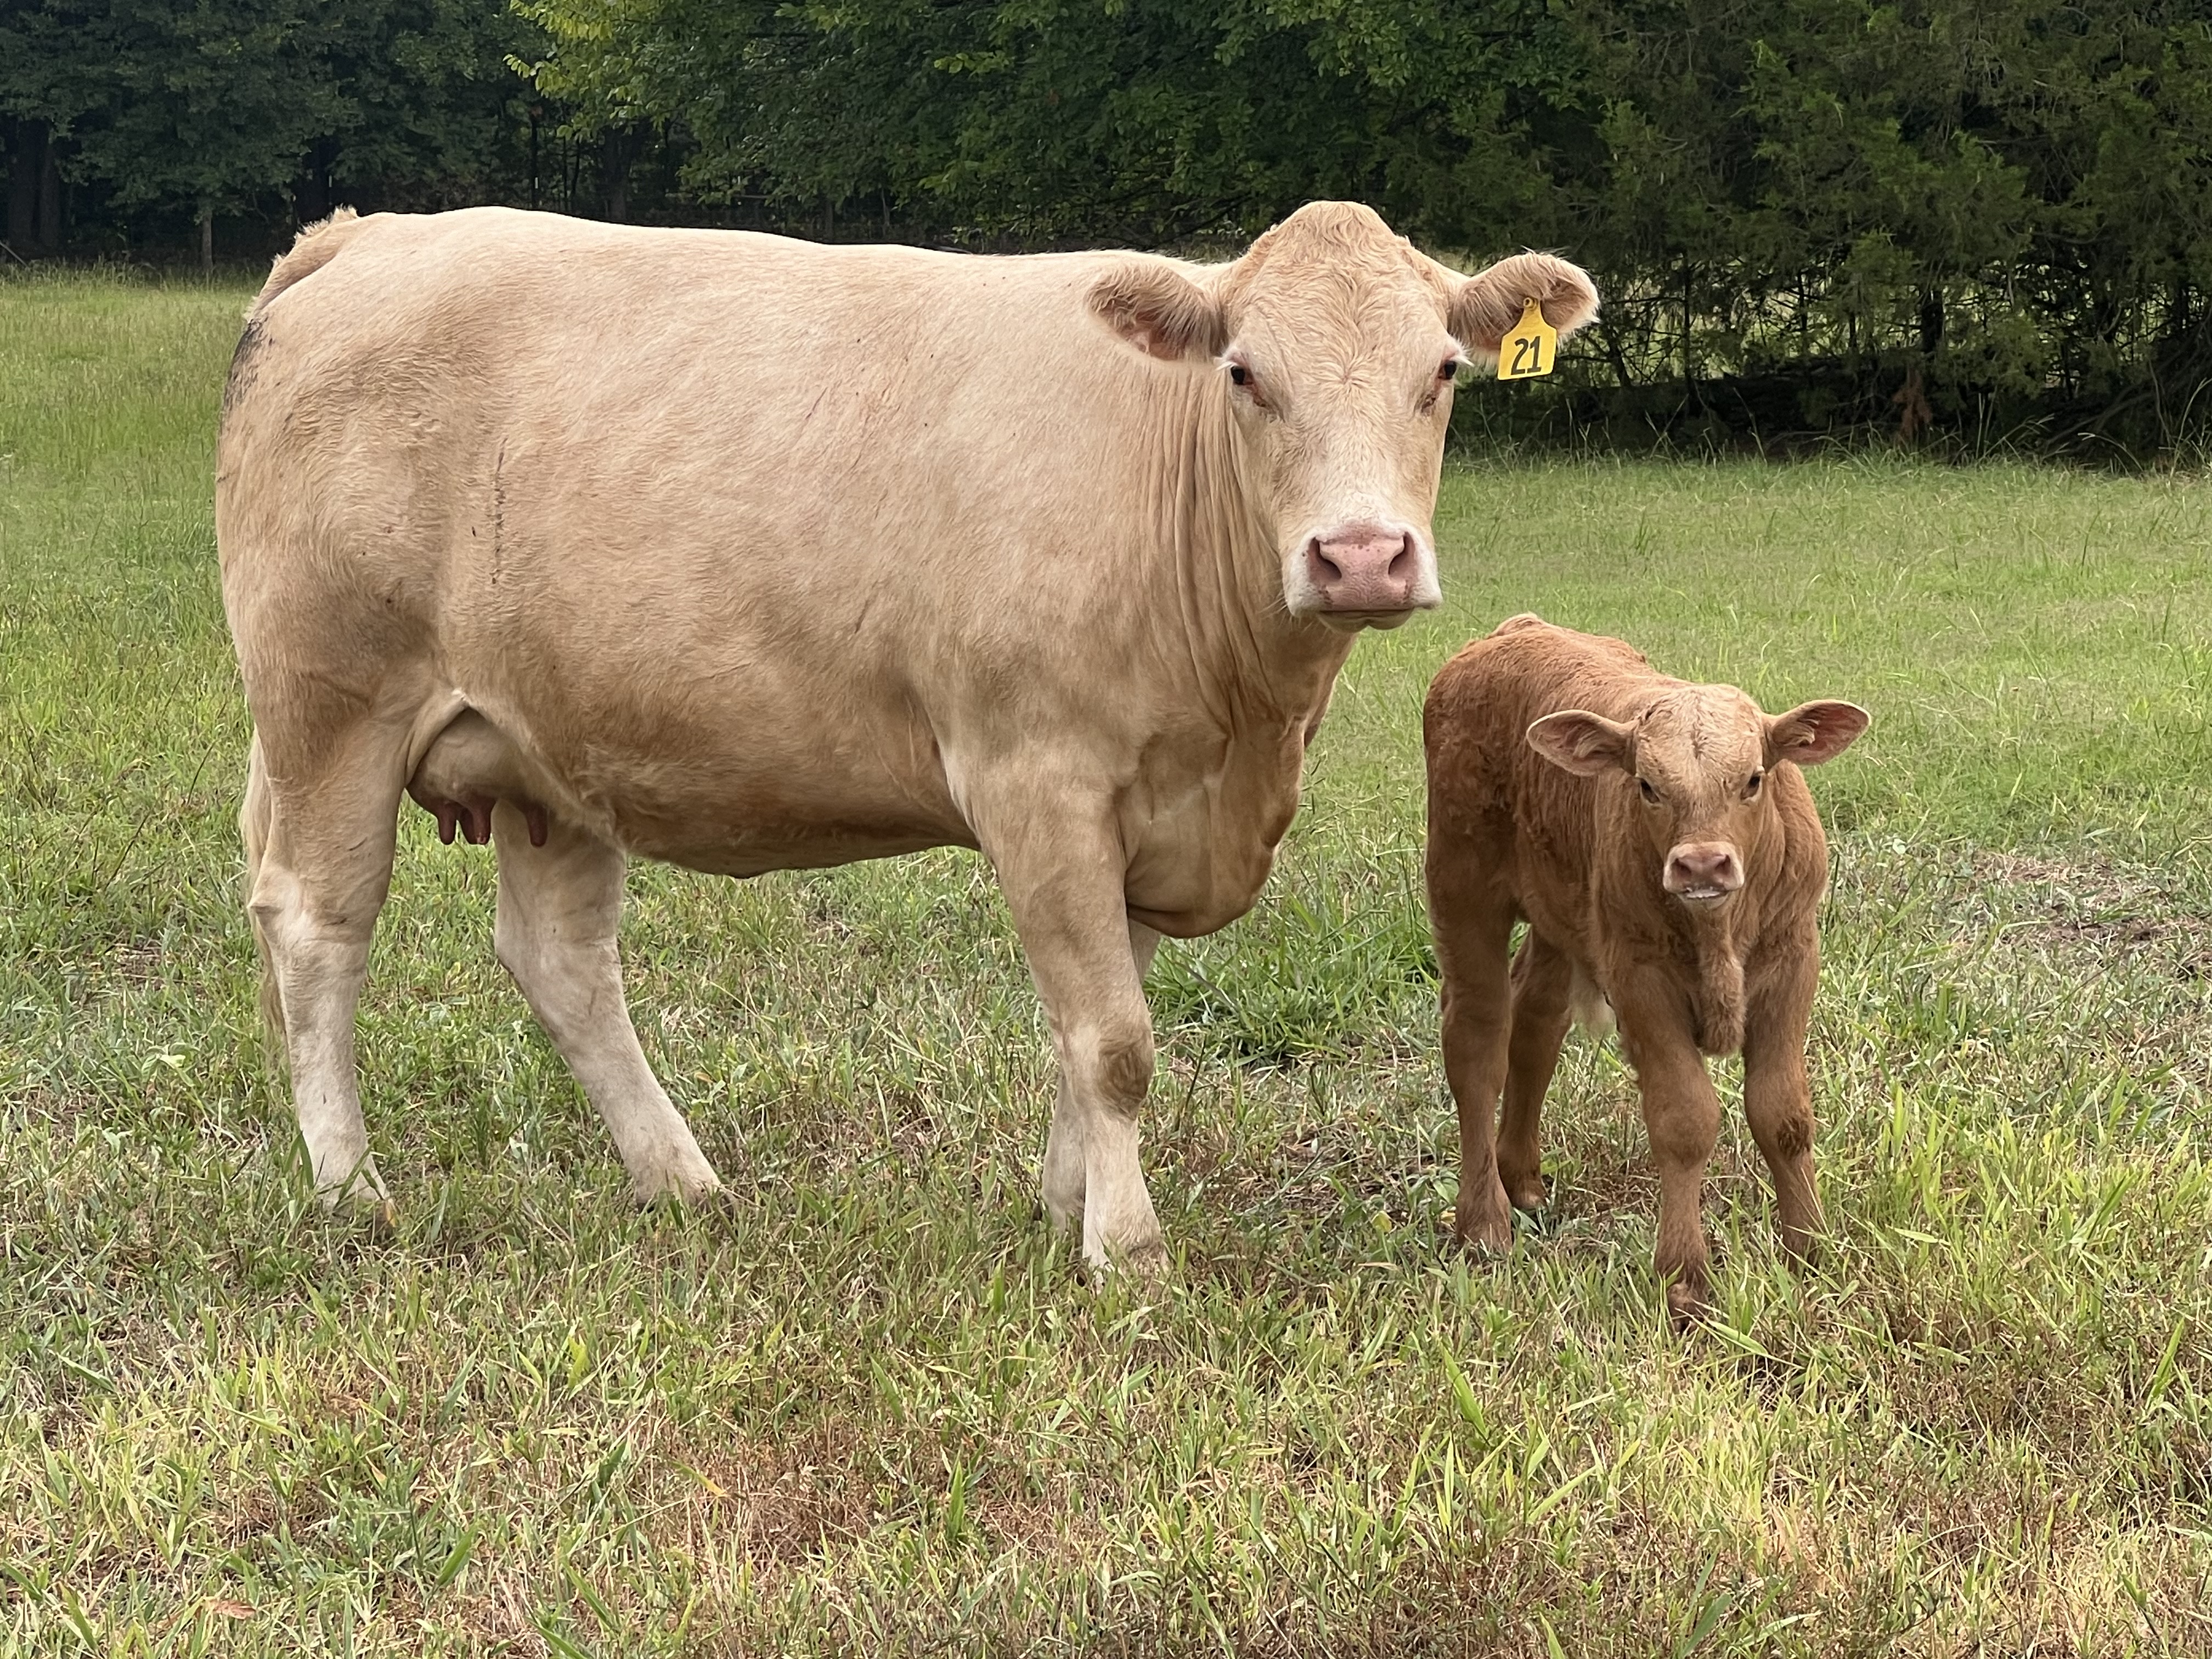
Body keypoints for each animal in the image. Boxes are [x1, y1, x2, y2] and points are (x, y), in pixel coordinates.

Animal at [216, 208, 1601, 1274]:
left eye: (1443, 373)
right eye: (1247, 374)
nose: (1362, 556)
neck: (1244, 730)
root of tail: (372, 235)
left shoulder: (1149, 814)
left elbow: (1095, 1022)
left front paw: (1065, 1208)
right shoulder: (1036, 775)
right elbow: (1114, 1043)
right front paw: (1129, 1250)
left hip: (550, 746)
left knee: (561, 962)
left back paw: (682, 1182)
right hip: (332, 701)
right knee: (317, 928)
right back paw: (353, 1191)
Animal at [1415, 619, 1867, 1318]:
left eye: (1753, 779)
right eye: (1648, 786)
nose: (1702, 864)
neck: (1716, 935)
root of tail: (1515, 630)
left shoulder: (1794, 959)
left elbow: (1783, 1115)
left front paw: (1810, 1250)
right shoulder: (1641, 979)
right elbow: (1685, 1121)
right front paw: (1684, 1278)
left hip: (1558, 913)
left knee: (1535, 1024)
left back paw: (1523, 1181)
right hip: (1461, 885)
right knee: (1477, 1040)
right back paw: (1484, 1221)